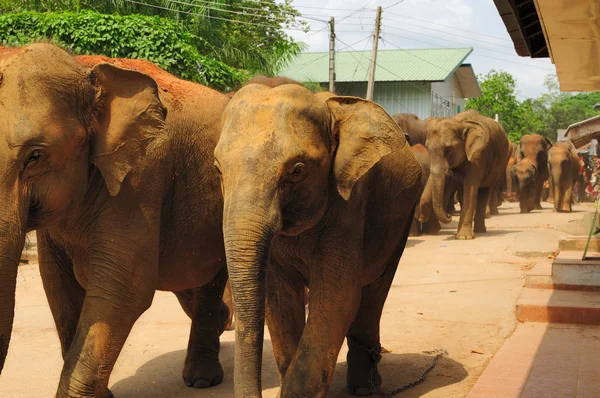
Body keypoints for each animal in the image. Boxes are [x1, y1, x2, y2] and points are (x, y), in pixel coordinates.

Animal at [0, 42, 234, 394]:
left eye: (35, 156)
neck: (83, 68)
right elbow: (58, 286)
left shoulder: (140, 179)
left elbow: (124, 287)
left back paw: (202, 378)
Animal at [217, 85, 422, 396]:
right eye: (217, 169)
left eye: (297, 171)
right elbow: (279, 299)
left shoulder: (350, 205)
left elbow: (336, 298)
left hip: (401, 220)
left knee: (374, 292)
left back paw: (365, 388)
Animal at [426, 109, 510, 239]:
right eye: (427, 148)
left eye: (448, 150)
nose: (449, 216)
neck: (459, 122)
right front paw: (461, 236)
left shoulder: (478, 155)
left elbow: (470, 187)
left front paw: (463, 238)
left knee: (484, 190)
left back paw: (480, 231)